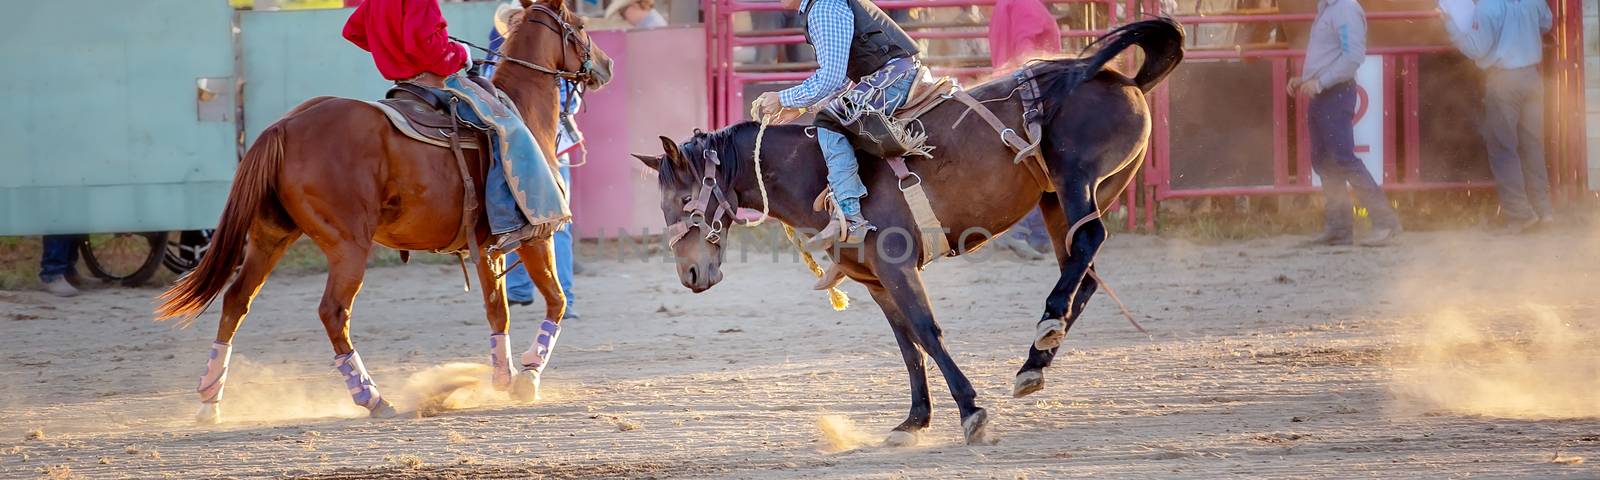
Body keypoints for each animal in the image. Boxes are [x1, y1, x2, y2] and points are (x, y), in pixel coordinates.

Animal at [152, 0, 611, 419]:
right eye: (580, 25)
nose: (605, 65)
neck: (521, 109)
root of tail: (284, 126)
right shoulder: (536, 235)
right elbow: (554, 301)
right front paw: (525, 378)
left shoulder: (485, 247)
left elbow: (497, 311)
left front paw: (502, 376)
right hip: (348, 246)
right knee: (333, 312)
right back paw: (371, 398)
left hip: (270, 237)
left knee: (236, 301)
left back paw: (210, 400)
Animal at [640, 19, 1190, 444]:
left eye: (682, 200)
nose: (690, 274)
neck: (813, 170)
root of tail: (1120, 79)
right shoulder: (875, 281)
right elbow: (907, 345)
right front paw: (914, 422)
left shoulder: (897, 264)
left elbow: (927, 331)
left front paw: (971, 413)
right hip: (1057, 199)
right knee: (1084, 268)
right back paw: (1034, 361)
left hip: (1079, 180)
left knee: (1088, 246)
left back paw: (1045, 330)